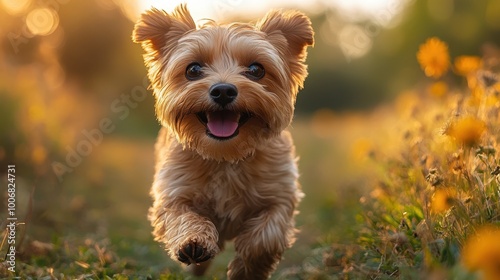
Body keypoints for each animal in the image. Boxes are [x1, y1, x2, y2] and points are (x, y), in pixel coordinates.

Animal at [132, 3, 312, 278]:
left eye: (256, 70)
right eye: (193, 69)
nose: (224, 90)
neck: (225, 155)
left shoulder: (280, 195)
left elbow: (266, 237)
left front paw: (246, 269)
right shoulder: (174, 191)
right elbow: (183, 216)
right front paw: (194, 241)